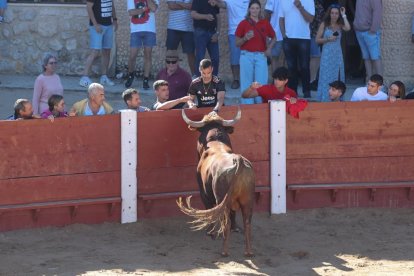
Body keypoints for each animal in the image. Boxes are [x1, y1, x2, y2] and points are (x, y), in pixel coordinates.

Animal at [177, 108, 256, 256]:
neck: (216, 143)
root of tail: (239, 162)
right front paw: (235, 228)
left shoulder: (203, 191)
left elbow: (209, 208)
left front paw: (210, 231)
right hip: (247, 200)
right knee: (247, 222)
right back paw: (248, 251)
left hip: (221, 198)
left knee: (225, 221)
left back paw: (224, 251)